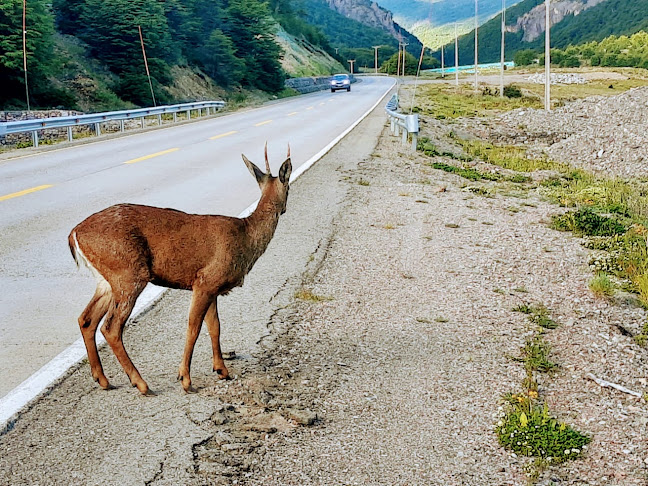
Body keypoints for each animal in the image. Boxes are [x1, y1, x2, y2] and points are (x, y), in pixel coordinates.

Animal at [67, 144, 292, 394]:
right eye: (289, 187)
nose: (284, 209)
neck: (246, 236)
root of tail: (74, 233)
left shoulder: (212, 287)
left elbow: (215, 326)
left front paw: (221, 370)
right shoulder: (205, 280)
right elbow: (193, 327)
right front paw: (185, 378)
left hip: (107, 280)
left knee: (86, 320)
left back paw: (103, 379)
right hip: (129, 273)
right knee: (111, 327)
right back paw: (140, 383)